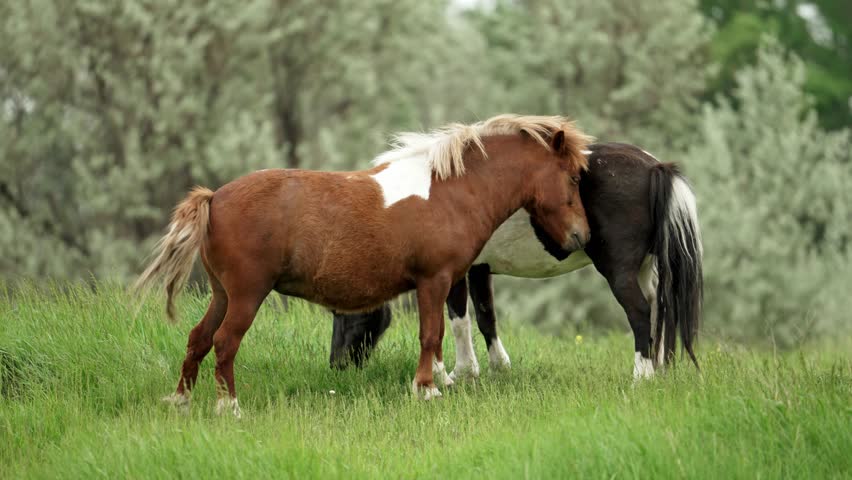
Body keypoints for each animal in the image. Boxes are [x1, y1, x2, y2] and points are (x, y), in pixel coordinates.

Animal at [135, 114, 593, 415]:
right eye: (573, 178)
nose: (581, 237)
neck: (452, 189)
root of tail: (215, 198)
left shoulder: (445, 282)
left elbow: (441, 335)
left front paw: (439, 380)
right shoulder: (435, 279)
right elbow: (432, 334)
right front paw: (426, 389)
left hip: (223, 295)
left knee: (199, 338)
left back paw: (181, 399)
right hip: (247, 295)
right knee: (225, 342)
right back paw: (228, 406)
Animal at [330, 142, 703, 380]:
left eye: (348, 314)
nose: (336, 366)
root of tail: (654, 167)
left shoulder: (454, 273)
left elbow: (458, 320)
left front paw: (459, 373)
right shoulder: (479, 270)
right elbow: (485, 318)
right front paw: (496, 368)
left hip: (620, 271)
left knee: (639, 312)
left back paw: (642, 376)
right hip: (644, 269)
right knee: (657, 312)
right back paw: (658, 369)